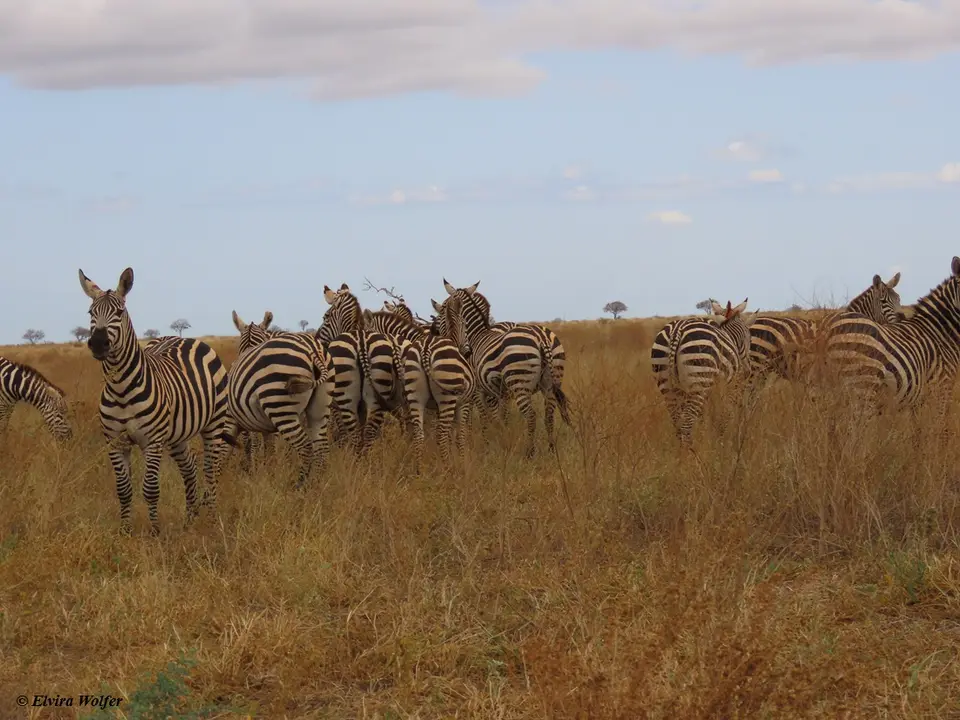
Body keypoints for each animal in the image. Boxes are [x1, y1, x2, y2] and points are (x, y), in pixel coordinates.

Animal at [79, 267, 230, 536]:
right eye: (91, 312)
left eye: (119, 312)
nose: (97, 343)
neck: (121, 389)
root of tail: (186, 338)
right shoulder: (115, 443)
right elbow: (123, 490)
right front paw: (125, 532)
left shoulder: (152, 441)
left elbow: (150, 489)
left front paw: (155, 531)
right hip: (178, 435)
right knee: (190, 468)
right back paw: (189, 519)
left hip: (214, 424)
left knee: (210, 472)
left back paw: (213, 521)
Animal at [437, 281, 569, 457]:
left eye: (443, 309)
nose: (439, 333)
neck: (476, 335)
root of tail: (542, 338)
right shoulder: (498, 393)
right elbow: (499, 418)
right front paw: (501, 440)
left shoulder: (479, 390)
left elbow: (486, 419)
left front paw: (489, 445)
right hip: (551, 381)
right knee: (549, 415)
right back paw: (552, 450)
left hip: (520, 383)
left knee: (531, 416)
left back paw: (530, 453)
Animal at [650, 299, 756, 445]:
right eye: (749, 339)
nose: (747, 370)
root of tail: (677, 330)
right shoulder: (729, 387)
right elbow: (725, 413)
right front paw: (720, 440)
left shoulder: (710, 391)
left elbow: (706, 417)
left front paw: (707, 436)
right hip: (699, 379)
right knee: (686, 426)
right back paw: (692, 452)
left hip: (667, 385)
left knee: (678, 425)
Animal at [820, 257, 960, 436]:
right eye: (883, 301)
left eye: (899, 299)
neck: (939, 332)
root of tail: (830, 329)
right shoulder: (942, 387)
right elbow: (940, 429)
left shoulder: (918, 399)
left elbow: (918, 432)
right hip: (862, 386)